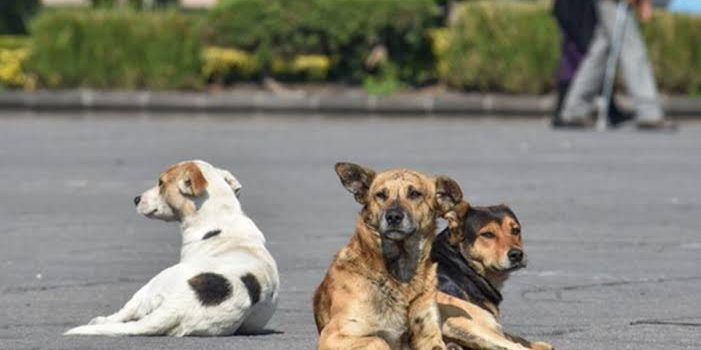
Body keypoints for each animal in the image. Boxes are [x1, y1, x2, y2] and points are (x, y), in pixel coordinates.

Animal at [64, 161, 278, 336]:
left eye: (161, 182)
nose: (136, 199)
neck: (221, 216)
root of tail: (179, 306)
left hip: (153, 284)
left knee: (125, 312)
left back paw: (101, 320)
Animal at [314, 163, 462, 350]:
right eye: (381, 195)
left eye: (415, 194)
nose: (393, 217)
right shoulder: (333, 334)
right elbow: (378, 340)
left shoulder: (429, 335)